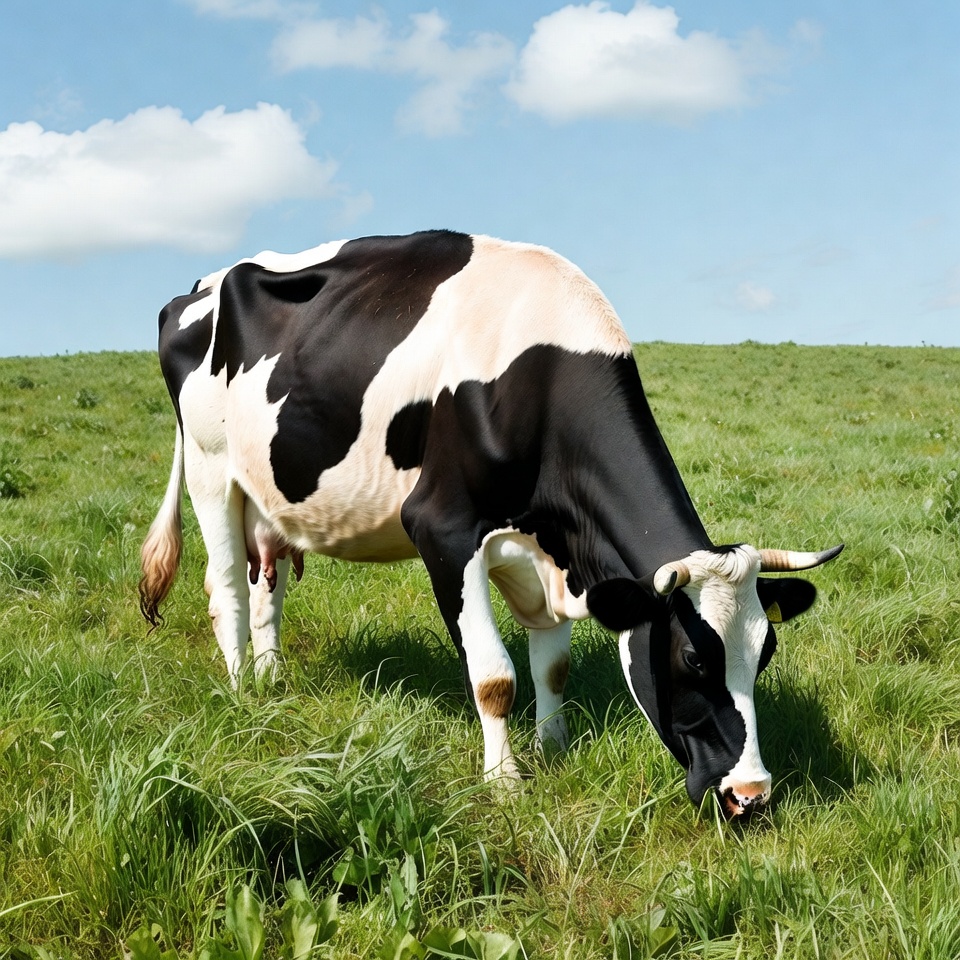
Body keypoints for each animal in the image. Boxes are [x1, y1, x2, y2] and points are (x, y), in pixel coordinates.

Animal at [140, 230, 842, 818]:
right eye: (693, 658)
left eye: (766, 652)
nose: (751, 794)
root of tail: (204, 281)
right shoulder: (443, 529)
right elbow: (495, 677)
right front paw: (504, 780)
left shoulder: (547, 552)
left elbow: (552, 665)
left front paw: (554, 747)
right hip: (210, 469)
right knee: (226, 589)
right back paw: (241, 693)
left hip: (270, 495)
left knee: (267, 588)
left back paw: (273, 681)